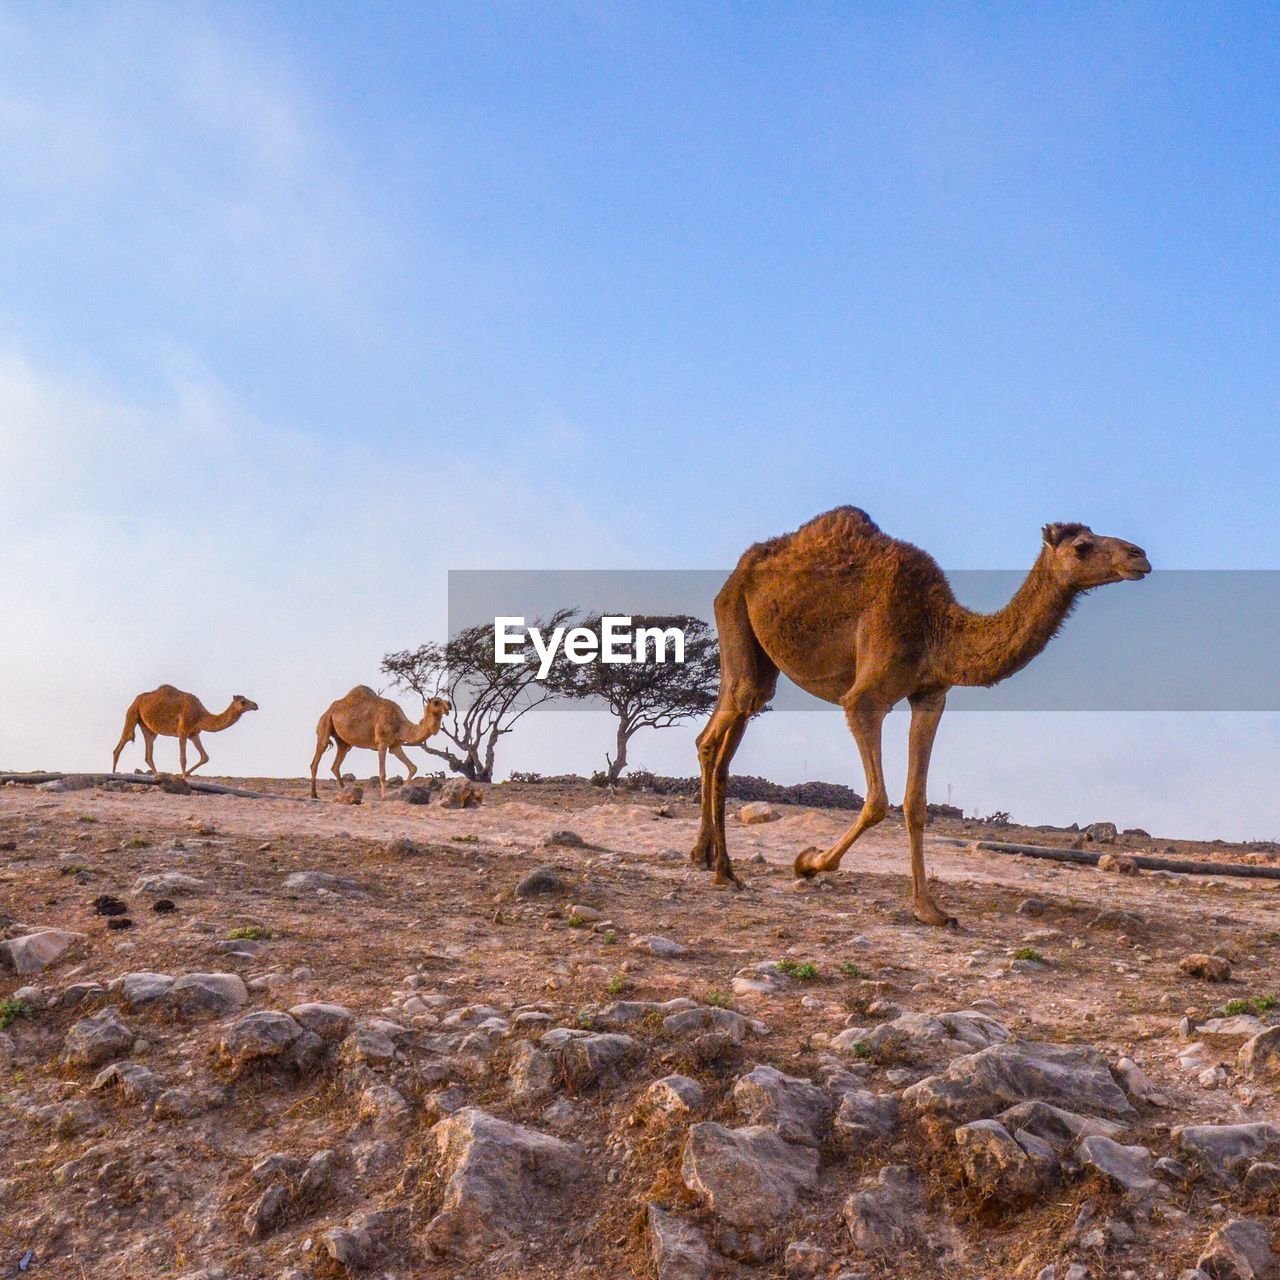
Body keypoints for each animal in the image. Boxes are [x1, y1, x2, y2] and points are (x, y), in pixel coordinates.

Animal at [113, 686, 259, 773]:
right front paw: (182, 777)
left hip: (148, 728)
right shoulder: (182, 732)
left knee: (148, 753)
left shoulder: (193, 734)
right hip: (132, 713)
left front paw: (184, 775)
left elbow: (205, 757)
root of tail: (137, 699)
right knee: (123, 742)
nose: (256, 705)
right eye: (243, 702)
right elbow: (183, 759)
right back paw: (113, 773)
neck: (201, 715)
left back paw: (157, 776)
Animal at [307, 680, 453, 798]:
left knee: (336, 765)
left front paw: (402, 791)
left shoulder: (395, 745)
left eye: (444, 700)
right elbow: (382, 774)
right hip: (325, 724)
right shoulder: (382, 743)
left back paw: (345, 792)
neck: (400, 724)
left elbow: (413, 767)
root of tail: (329, 710)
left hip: (344, 742)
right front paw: (384, 796)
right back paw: (314, 794)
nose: (449, 705)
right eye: (436, 702)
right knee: (317, 757)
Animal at [696, 504, 1157, 926]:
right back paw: (721, 870)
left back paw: (708, 858)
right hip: (734, 613)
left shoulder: (930, 695)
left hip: (758, 661)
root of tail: (741, 569)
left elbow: (915, 803)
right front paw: (808, 861)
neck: (935, 629)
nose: (1140, 556)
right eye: (1082, 546)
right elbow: (878, 801)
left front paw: (929, 908)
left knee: (721, 736)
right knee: (723, 727)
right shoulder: (865, 699)